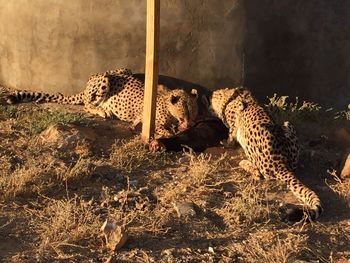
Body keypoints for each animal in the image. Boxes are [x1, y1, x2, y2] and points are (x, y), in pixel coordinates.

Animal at [5, 68, 198, 138]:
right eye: (185, 111)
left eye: (193, 111)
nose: (190, 123)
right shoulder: (152, 122)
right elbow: (167, 131)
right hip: (104, 80)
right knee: (86, 104)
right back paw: (103, 111)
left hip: (125, 70)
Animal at [208, 87, 322, 222]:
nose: (208, 108)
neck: (231, 96)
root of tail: (281, 163)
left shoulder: (233, 126)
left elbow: (230, 137)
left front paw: (225, 143)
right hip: (287, 125)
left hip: (249, 138)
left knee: (258, 173)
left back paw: (244, 163)